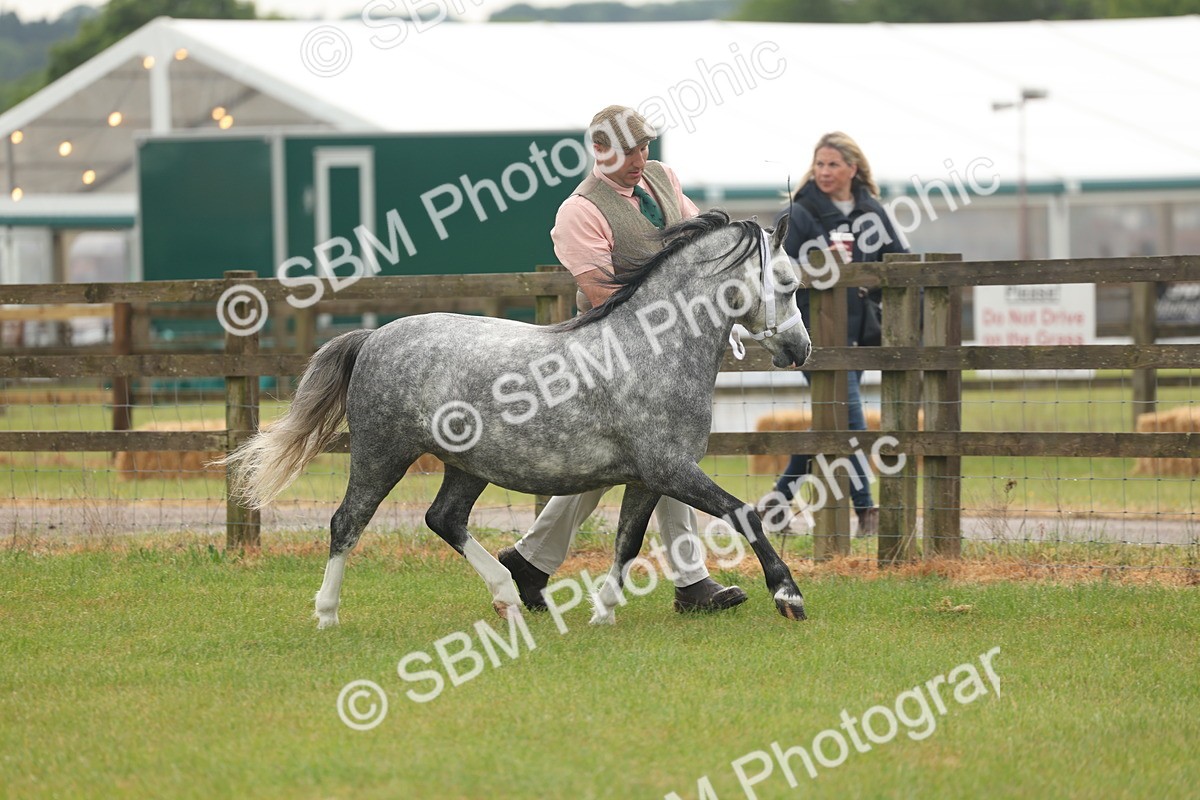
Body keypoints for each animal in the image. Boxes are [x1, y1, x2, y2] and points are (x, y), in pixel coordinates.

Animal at [221, 210, 812, 628]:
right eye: (786, 282)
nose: (799, 350)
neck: (651, 347)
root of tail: (373, 337)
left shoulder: (649, 477)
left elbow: (627, 542)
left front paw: (603, 612)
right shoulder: (670, 470)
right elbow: (744, 514)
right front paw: (789, 597)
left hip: (466, 466)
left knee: (444, 519)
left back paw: (509, 594)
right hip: (381, 452)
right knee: (347, 522)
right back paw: (327, 614)